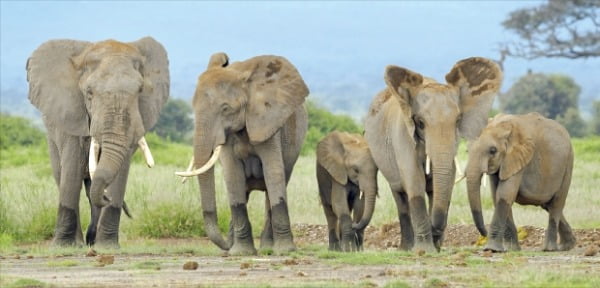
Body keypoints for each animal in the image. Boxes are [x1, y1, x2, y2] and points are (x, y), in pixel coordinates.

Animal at [26, 36, 170, 248]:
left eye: (140, 91)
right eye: (89, 93)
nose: (106, 195)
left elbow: (120, 170)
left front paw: (107, 246)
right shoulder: (71, 112)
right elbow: (72, 169)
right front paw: (63, 246)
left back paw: (92, 241)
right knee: (63, 177)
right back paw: (78, 242)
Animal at [175, 53, 308, 255]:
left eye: (225, 109)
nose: (224, 245)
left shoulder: (268, 123)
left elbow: (274, 173)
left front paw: (285, 251)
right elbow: (233, 176)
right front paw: (241, 253)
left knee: (273, 188)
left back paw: (266, 248)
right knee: (243, 192)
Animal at [364, 56, 504, 252]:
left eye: (458, 121)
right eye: (420, 123)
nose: (435, 230)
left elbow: (447, 178)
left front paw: (435, 246)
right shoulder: (402, 134)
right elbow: (414, 181)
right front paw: (424, 250)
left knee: (430, 191)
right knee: (400, 195)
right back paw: (407, 248)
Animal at [464, 112, 576, 252]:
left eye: (493, 151)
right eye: (467, 150)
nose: (484, 233)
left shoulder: (519, 159)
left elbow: (504, 195)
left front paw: (492, 249)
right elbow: (496, 196)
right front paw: (512, 249)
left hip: (568, 164)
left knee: (556, 203)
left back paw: (549, 249)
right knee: (547, 204)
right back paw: (567, 246)